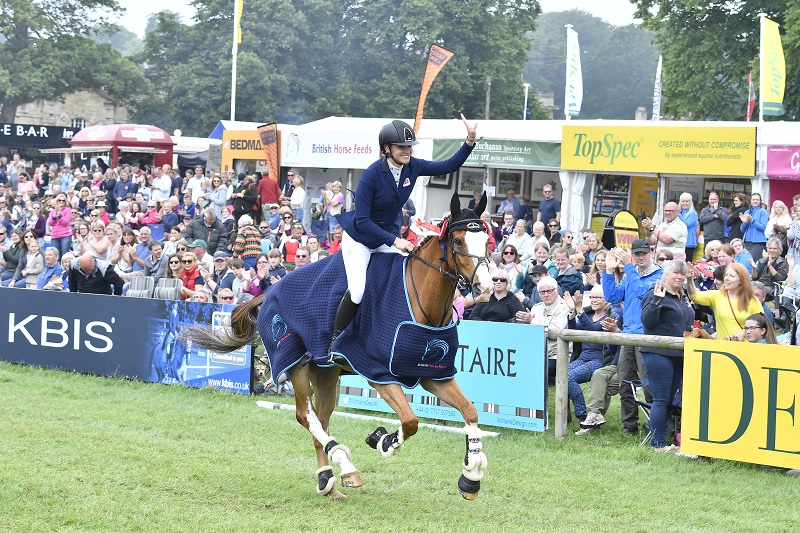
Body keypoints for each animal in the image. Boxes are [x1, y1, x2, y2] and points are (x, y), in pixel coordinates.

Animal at [182, 192, 494, 498]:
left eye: (487, 241)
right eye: (458, 241)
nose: (486, 287)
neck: (421, 300)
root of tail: (270, 290)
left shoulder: (432, 373)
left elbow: (469, 411)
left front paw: (471, 474)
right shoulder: (378, 372)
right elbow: (410, 421)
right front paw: (382, 439)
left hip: (326, 372)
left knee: (320, 420)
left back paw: (329, 480)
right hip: (295, 362)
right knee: (306, 416)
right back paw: (344, 466)